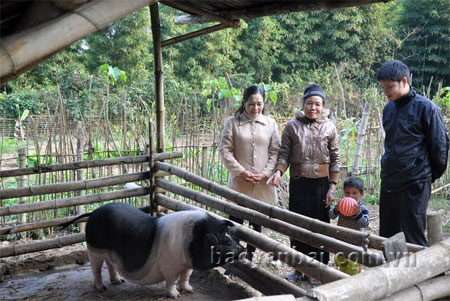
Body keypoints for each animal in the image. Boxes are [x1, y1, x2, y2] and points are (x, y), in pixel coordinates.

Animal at [65, 202, 244, 298]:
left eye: (232, 236)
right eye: (226, 240)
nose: (242, 249)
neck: (190, 240)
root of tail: (93, 212)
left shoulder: (187, 265)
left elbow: (186, 277)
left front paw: (190, 291)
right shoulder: (170, 267)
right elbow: (172, 281)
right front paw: (176, 296)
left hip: (109, 253)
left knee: (110, 265)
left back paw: (118, 282)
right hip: (94, 249)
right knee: (96, 269)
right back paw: (101, 288)